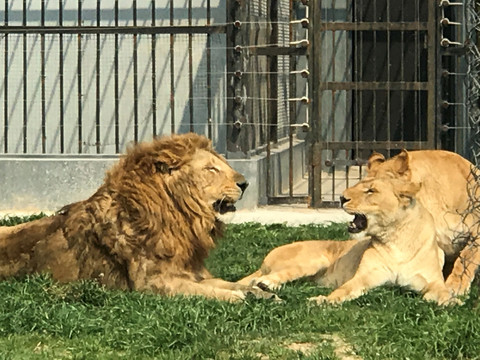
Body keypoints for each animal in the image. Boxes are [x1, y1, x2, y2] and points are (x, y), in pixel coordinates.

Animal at [240, 176, 458, 304]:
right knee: (267, 276)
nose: (342, 198)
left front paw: (450, 301)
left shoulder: (432, 280)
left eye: (370, 190)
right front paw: (323, 300)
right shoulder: (363, 278)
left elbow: (442, 290)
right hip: (314, 260)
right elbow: (343, 290)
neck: (395, 239)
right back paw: (265, 284)